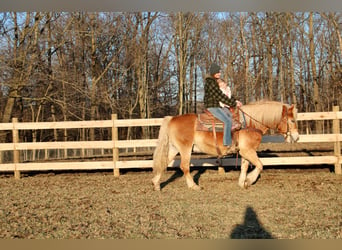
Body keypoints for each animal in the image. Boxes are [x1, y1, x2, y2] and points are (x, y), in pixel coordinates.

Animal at [152, 100, 300, 190]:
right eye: (292, 120)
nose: (296, 137)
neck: (250, 123)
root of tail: (172, 118)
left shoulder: (245, 152)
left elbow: (245, 167)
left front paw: (242, 182)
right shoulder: (248, 151)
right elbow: (260, 165)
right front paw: (249, 181)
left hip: (174, 148)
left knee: (164, 163)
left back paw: (156, 184)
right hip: (185, 149)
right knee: (184, 166)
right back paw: (194, 186)